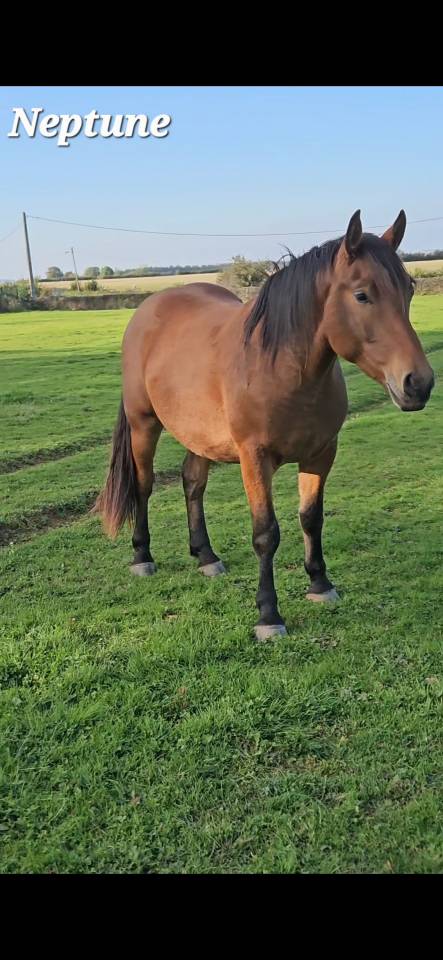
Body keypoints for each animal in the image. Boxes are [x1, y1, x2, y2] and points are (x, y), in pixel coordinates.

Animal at [95, 210, 434, 640]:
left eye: (409, 289)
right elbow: (265, 533)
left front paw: (320, 584)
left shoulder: (321, 454)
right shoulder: (254, 458)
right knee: (143, 485)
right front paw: (269, 615)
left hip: (199, 435)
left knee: (193, 483)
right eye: (362, 295)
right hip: (144, 425)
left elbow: (311, 518)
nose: (418, 383)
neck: (284, 369)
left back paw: (205, 556)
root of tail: (148, 308)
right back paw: (142, 556)